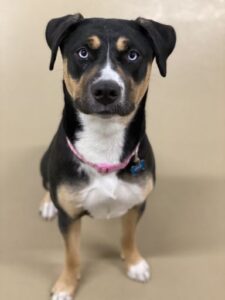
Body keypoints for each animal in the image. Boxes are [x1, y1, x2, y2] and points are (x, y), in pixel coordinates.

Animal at [39, 14, 176, 300]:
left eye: (133, 55)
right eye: (82, 52)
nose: (105, 90)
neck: (104, 140)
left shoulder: (137, 204)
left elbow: (128, 236)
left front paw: (134, 264)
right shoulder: (69, 218)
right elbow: (72, 255)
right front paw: (66, 286)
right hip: (44, 163)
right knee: (47, 184)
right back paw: (48, 204)